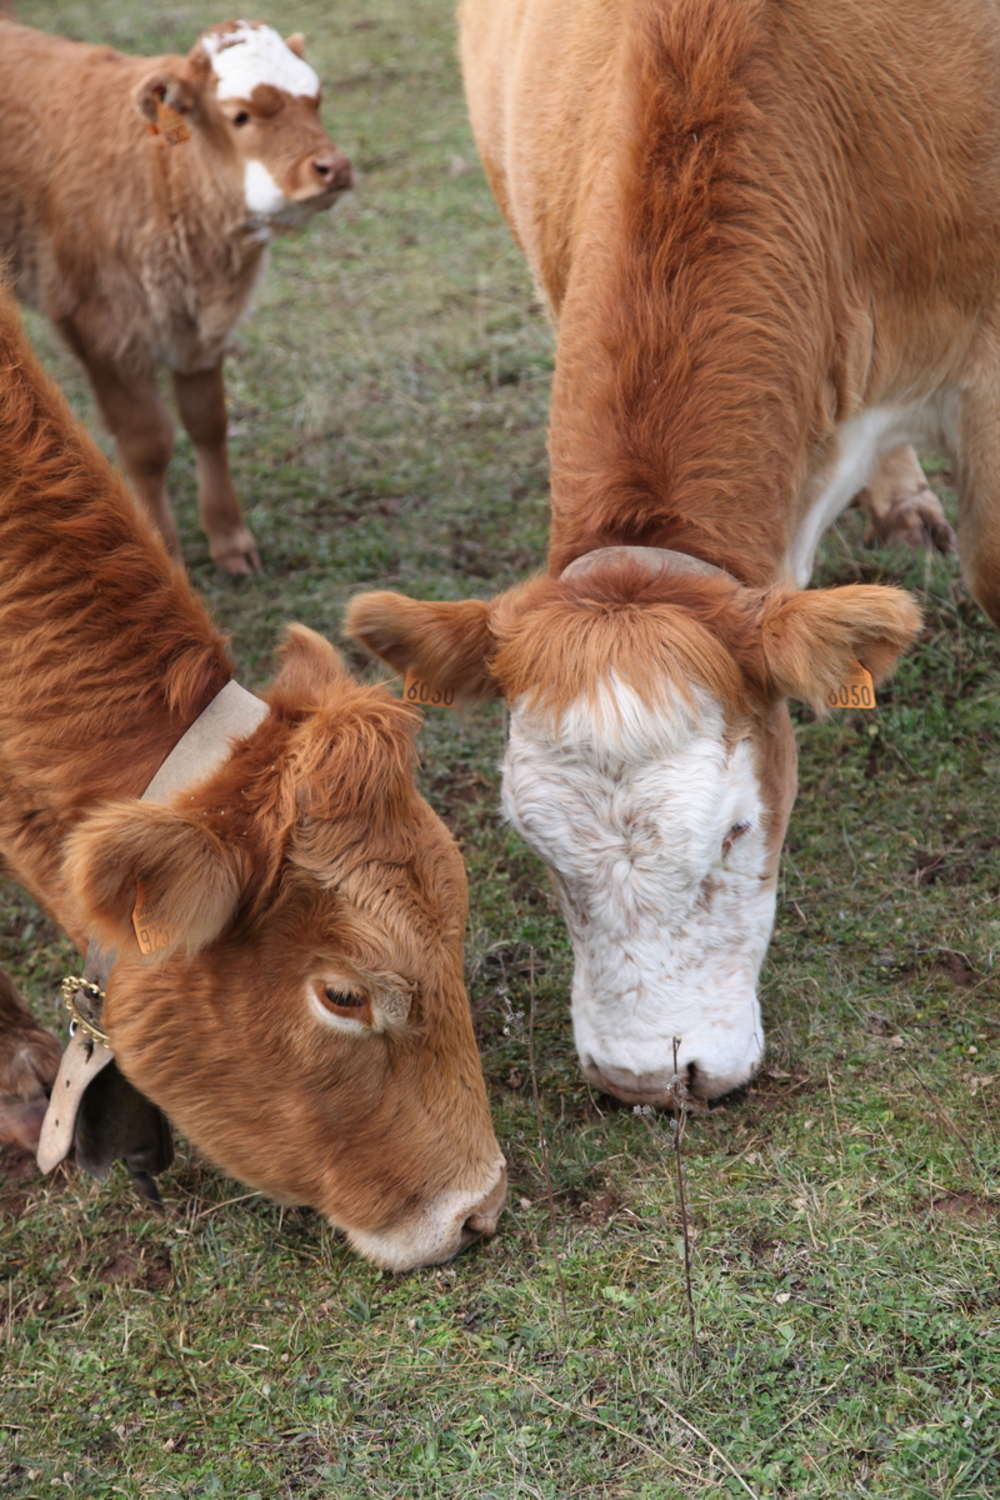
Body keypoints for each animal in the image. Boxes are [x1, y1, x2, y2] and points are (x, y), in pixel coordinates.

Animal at [0, 20, 353, 576]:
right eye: (240, 115)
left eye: (316, 100)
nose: (333, 166)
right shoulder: (100, 328)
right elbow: (148, 442)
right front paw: (161, 549)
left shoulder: (200, 328)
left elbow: (208, 422)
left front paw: (229, 539)